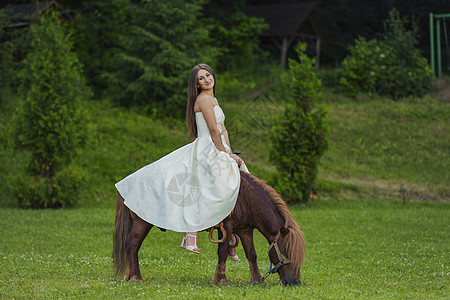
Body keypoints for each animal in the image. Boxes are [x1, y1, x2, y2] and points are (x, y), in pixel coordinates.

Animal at [111, 171, 306, 286]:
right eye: (286, 250)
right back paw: (135, 277)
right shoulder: (226, 227)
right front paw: (221, 279)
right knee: (132, 244)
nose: (295, 281)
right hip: (142, 222)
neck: (245, 198)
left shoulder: (245, 230)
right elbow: (222, 252)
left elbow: (252, 254)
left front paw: (257, 279)